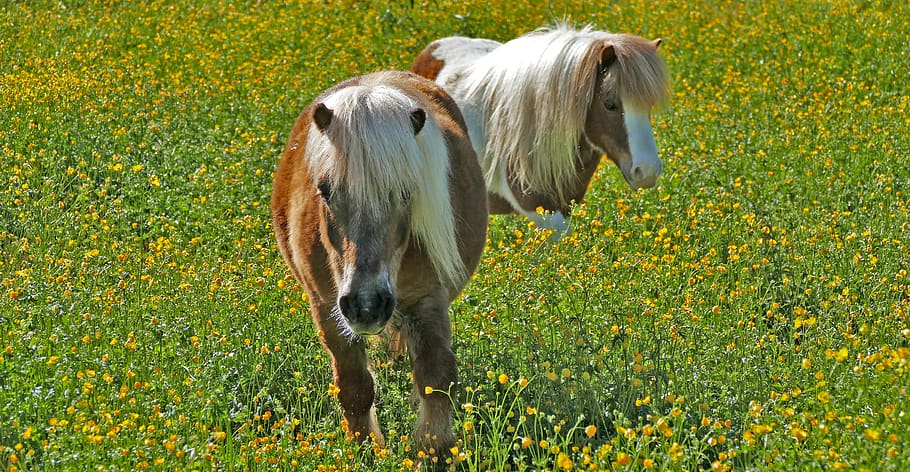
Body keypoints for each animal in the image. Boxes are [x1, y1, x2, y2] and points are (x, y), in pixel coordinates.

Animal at [271, 71, 488, 465]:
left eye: (406, 193)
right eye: (324, 190)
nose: (367, 304)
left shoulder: (428, 300)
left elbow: (436, 376)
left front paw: (433, 450)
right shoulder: (327, 308)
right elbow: (354, 387)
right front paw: (366, 451)